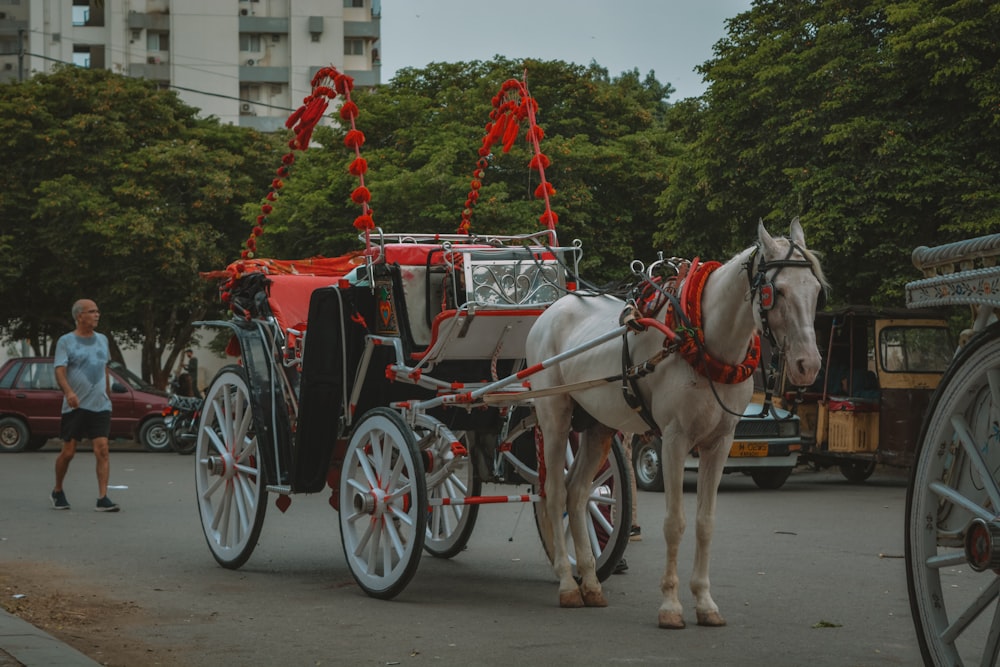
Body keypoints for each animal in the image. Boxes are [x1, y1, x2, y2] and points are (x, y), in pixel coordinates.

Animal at [528, 219, 824, 628]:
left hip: (598, 425)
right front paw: (670, 604)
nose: (807, 365)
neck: (702, 342)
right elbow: (675, 522)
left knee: (577, 493)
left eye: (815, 290)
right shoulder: (672, 440)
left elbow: (705, 522)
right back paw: (567, 584)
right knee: (554, 491)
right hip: (554, 414)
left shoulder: (720, 442)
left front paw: (705, 602)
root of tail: (552, 309)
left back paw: (589, 581)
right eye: (775, 291)